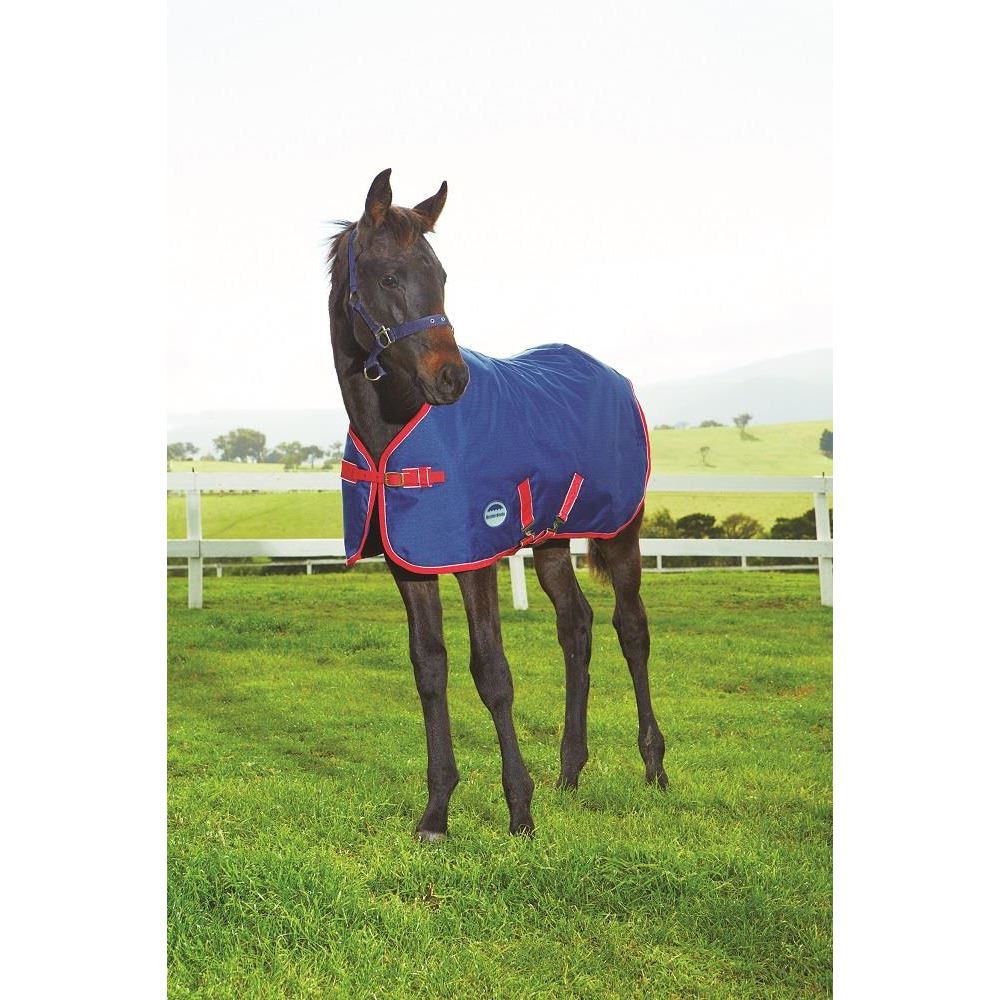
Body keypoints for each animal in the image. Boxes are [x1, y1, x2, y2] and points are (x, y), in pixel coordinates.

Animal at [327, 169, 667, 839]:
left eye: (441, 275)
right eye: (389, 277)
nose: (451, 379)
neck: (395, 429)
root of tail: (615, 377)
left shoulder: (476, 558)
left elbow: (492, 672)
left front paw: (519, 811)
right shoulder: (412, 564)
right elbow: (429, 669)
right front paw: (436, 813)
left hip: (621, 533)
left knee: (631, 628)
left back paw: (654, 766)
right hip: (553, 541)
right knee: (576, 625)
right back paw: (570, 771)